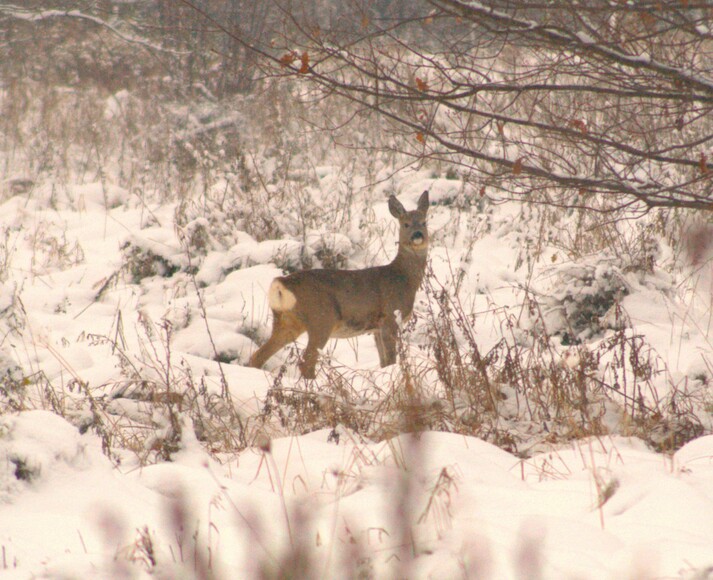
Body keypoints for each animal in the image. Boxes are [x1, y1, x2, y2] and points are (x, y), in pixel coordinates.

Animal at [250, 191, 428, 380]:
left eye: (424, 222)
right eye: (405, 224)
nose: (418, 235)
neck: (403, 278)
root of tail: (282, 283)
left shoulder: (376, 328)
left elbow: (384, 362)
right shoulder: (390, 316)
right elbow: (392, 359)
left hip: (286, 321)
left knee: (258, 356)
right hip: (321, 318)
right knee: (306, 362)